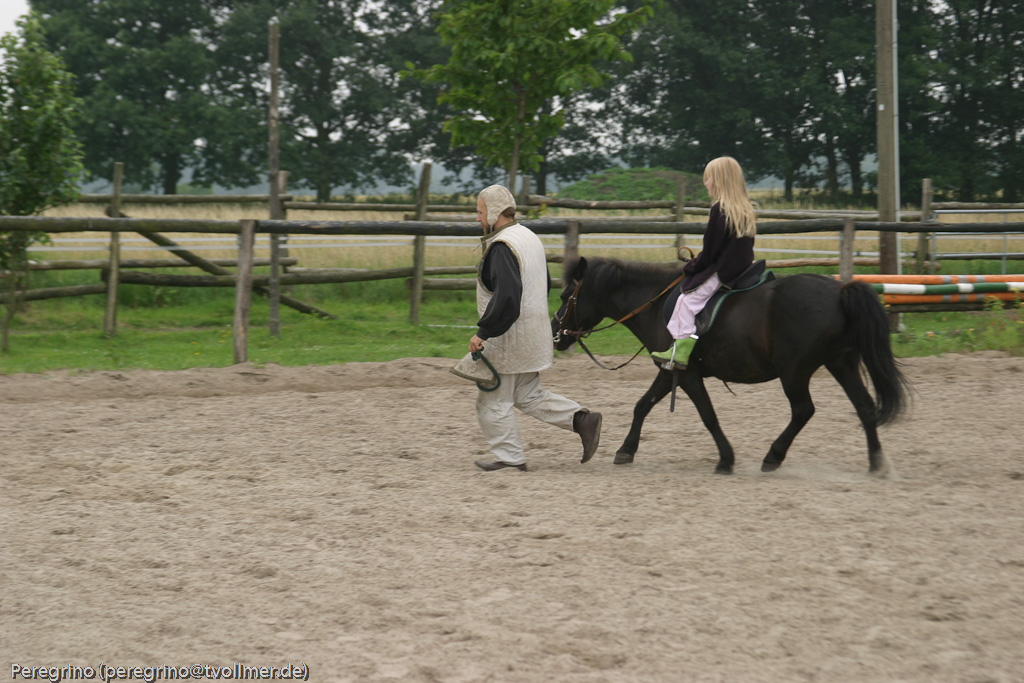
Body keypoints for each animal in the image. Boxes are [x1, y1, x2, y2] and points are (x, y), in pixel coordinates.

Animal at [552, 257, 910, 476]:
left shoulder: (687, 375)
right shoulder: (669, 370)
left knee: (803, 410)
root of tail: (839, 289)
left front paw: (726, 459)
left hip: (794, 372)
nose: (556, 333)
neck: (654, 304)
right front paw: (626, 450)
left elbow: (708, 416)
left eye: (567, 295)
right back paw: (877, 464)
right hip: (841, 363)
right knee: (865, 407)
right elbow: (643, 405)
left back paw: (773, 456)